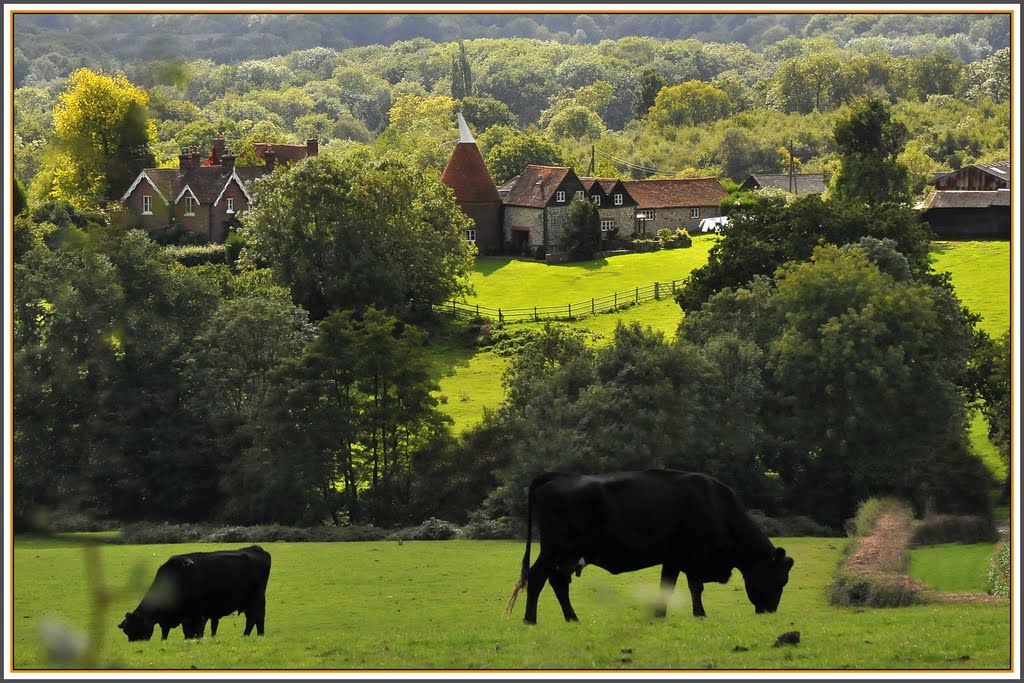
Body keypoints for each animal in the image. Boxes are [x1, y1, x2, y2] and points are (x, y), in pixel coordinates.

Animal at [116, 544, 272, 643]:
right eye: (126, 631)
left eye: (136, 627)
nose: (135, 644)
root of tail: (257, 549)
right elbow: (166, 631)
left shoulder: (195, 615)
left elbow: (192, 631)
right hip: (248, 603)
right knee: (252, 619)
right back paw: (249, 636)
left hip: (257, 600)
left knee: (257, 617)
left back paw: (258, 635)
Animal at [507, 471, 794, 626]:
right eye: (779, 579)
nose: (770, 611)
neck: (715, 506)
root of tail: (555, 476)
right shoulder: (684, 556)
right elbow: (687, 587)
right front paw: (694, 614)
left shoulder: (679, 559)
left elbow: (678, 586)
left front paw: (666, 614)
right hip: (554, 550)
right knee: (537, 578)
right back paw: (530, 619)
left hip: (564, 555)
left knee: (557, 582)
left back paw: (572, 618)